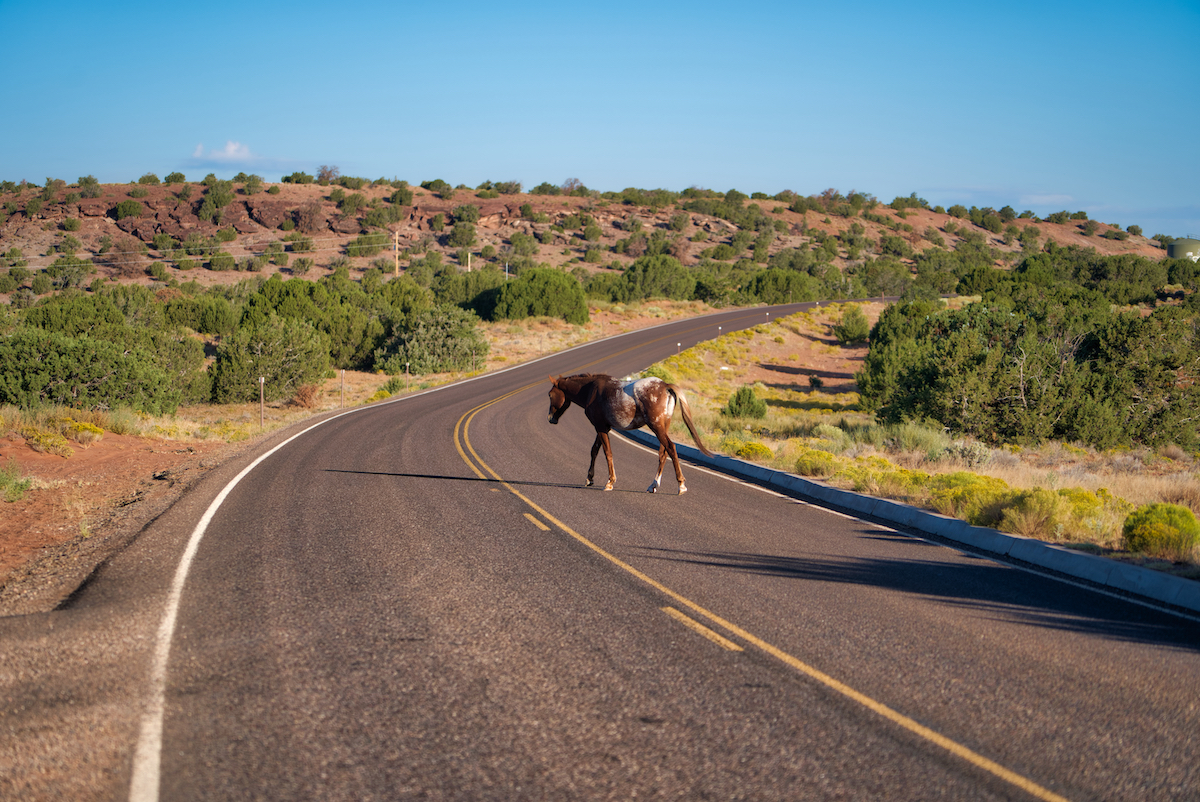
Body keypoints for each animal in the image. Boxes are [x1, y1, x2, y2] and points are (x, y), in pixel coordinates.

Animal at [547, 372, 710, 492]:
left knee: (670, 447)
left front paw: (610, 482)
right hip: (664, 426)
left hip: (657, 427)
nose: (550, 418)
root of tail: (665, 386)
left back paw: (681, 485)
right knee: (663, 453)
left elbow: (607, 453)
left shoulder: (600, 427)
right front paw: (589, 478)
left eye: (550, 395)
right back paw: (653, 485)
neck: (591, 391)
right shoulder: (604, 427)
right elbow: (594, 450)